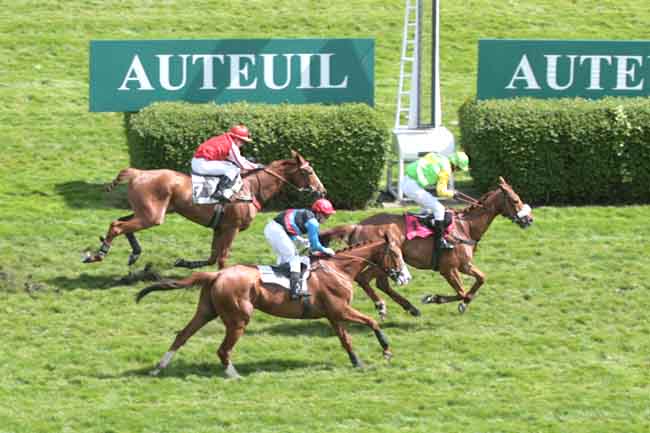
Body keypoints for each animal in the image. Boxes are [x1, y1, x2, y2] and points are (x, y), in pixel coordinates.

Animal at [83, 151, 324, 266]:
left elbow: (211, 257)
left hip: (145, 212)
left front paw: (184, 263)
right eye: (309, 172)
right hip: (152, 217)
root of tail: (138, 172)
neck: (251, 188)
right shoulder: (231, 228)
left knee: (122, 222)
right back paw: (98, 255)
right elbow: (222, 258)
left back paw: (134, 253)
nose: (322, 191)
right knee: (117, 225)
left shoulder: (219, 228)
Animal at [135, 235, 412, 376]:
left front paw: (357, 362)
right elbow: (372, 322)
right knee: (223, 350)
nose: (404, 277)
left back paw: (159, 367)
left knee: (182, 335)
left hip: (206, 311)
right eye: (396, 255)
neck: (339, 268)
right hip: (238, 319)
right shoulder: (340, 310)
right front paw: (386, 350)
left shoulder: (334, 315)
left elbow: (346, 340)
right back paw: (233, 374)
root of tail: (217, 274)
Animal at [318, 175, 532, 314]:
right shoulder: (449, 269)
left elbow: (480, 279)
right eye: (515, 200)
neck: (465, 228)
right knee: (366, 280)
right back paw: (382, 305)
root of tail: (357, 226)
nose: (529, 219)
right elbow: (461, 292)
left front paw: (460, 303)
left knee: (379, 283)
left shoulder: (465, 265)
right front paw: (434, 298)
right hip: (381, 260)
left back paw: (409, 307)